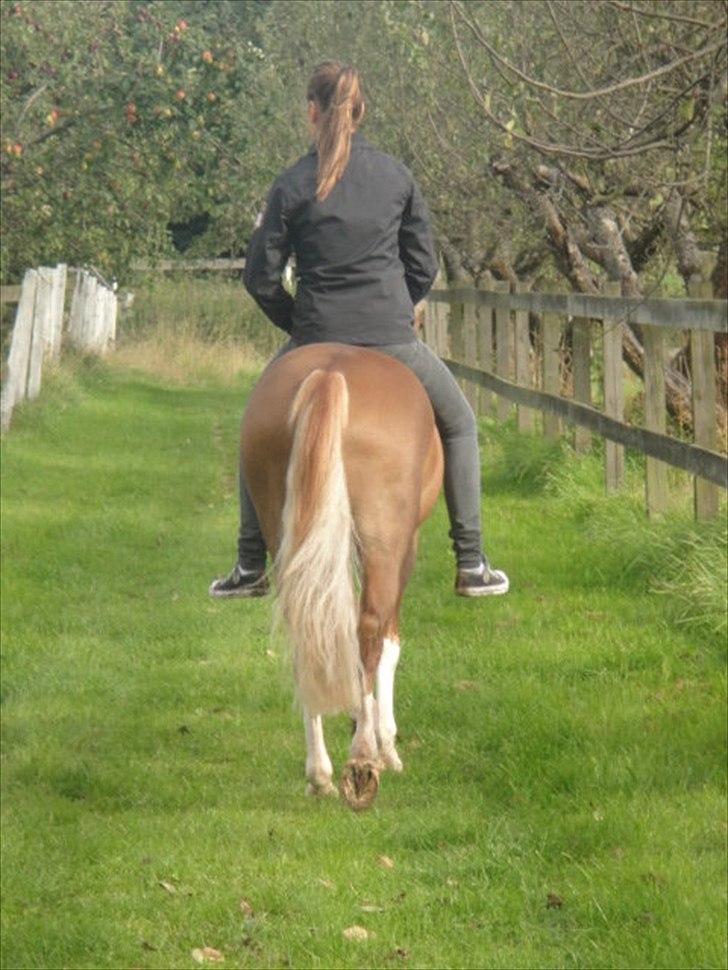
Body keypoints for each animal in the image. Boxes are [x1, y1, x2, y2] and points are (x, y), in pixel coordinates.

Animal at [242, 341, 443, 809]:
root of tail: (329, 374)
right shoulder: (405, 548)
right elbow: (388, 645)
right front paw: (385, 743)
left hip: (285, 527)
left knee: (305, 630)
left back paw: (320, 775)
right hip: (386, 542)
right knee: (370, 629)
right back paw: (364, 758)